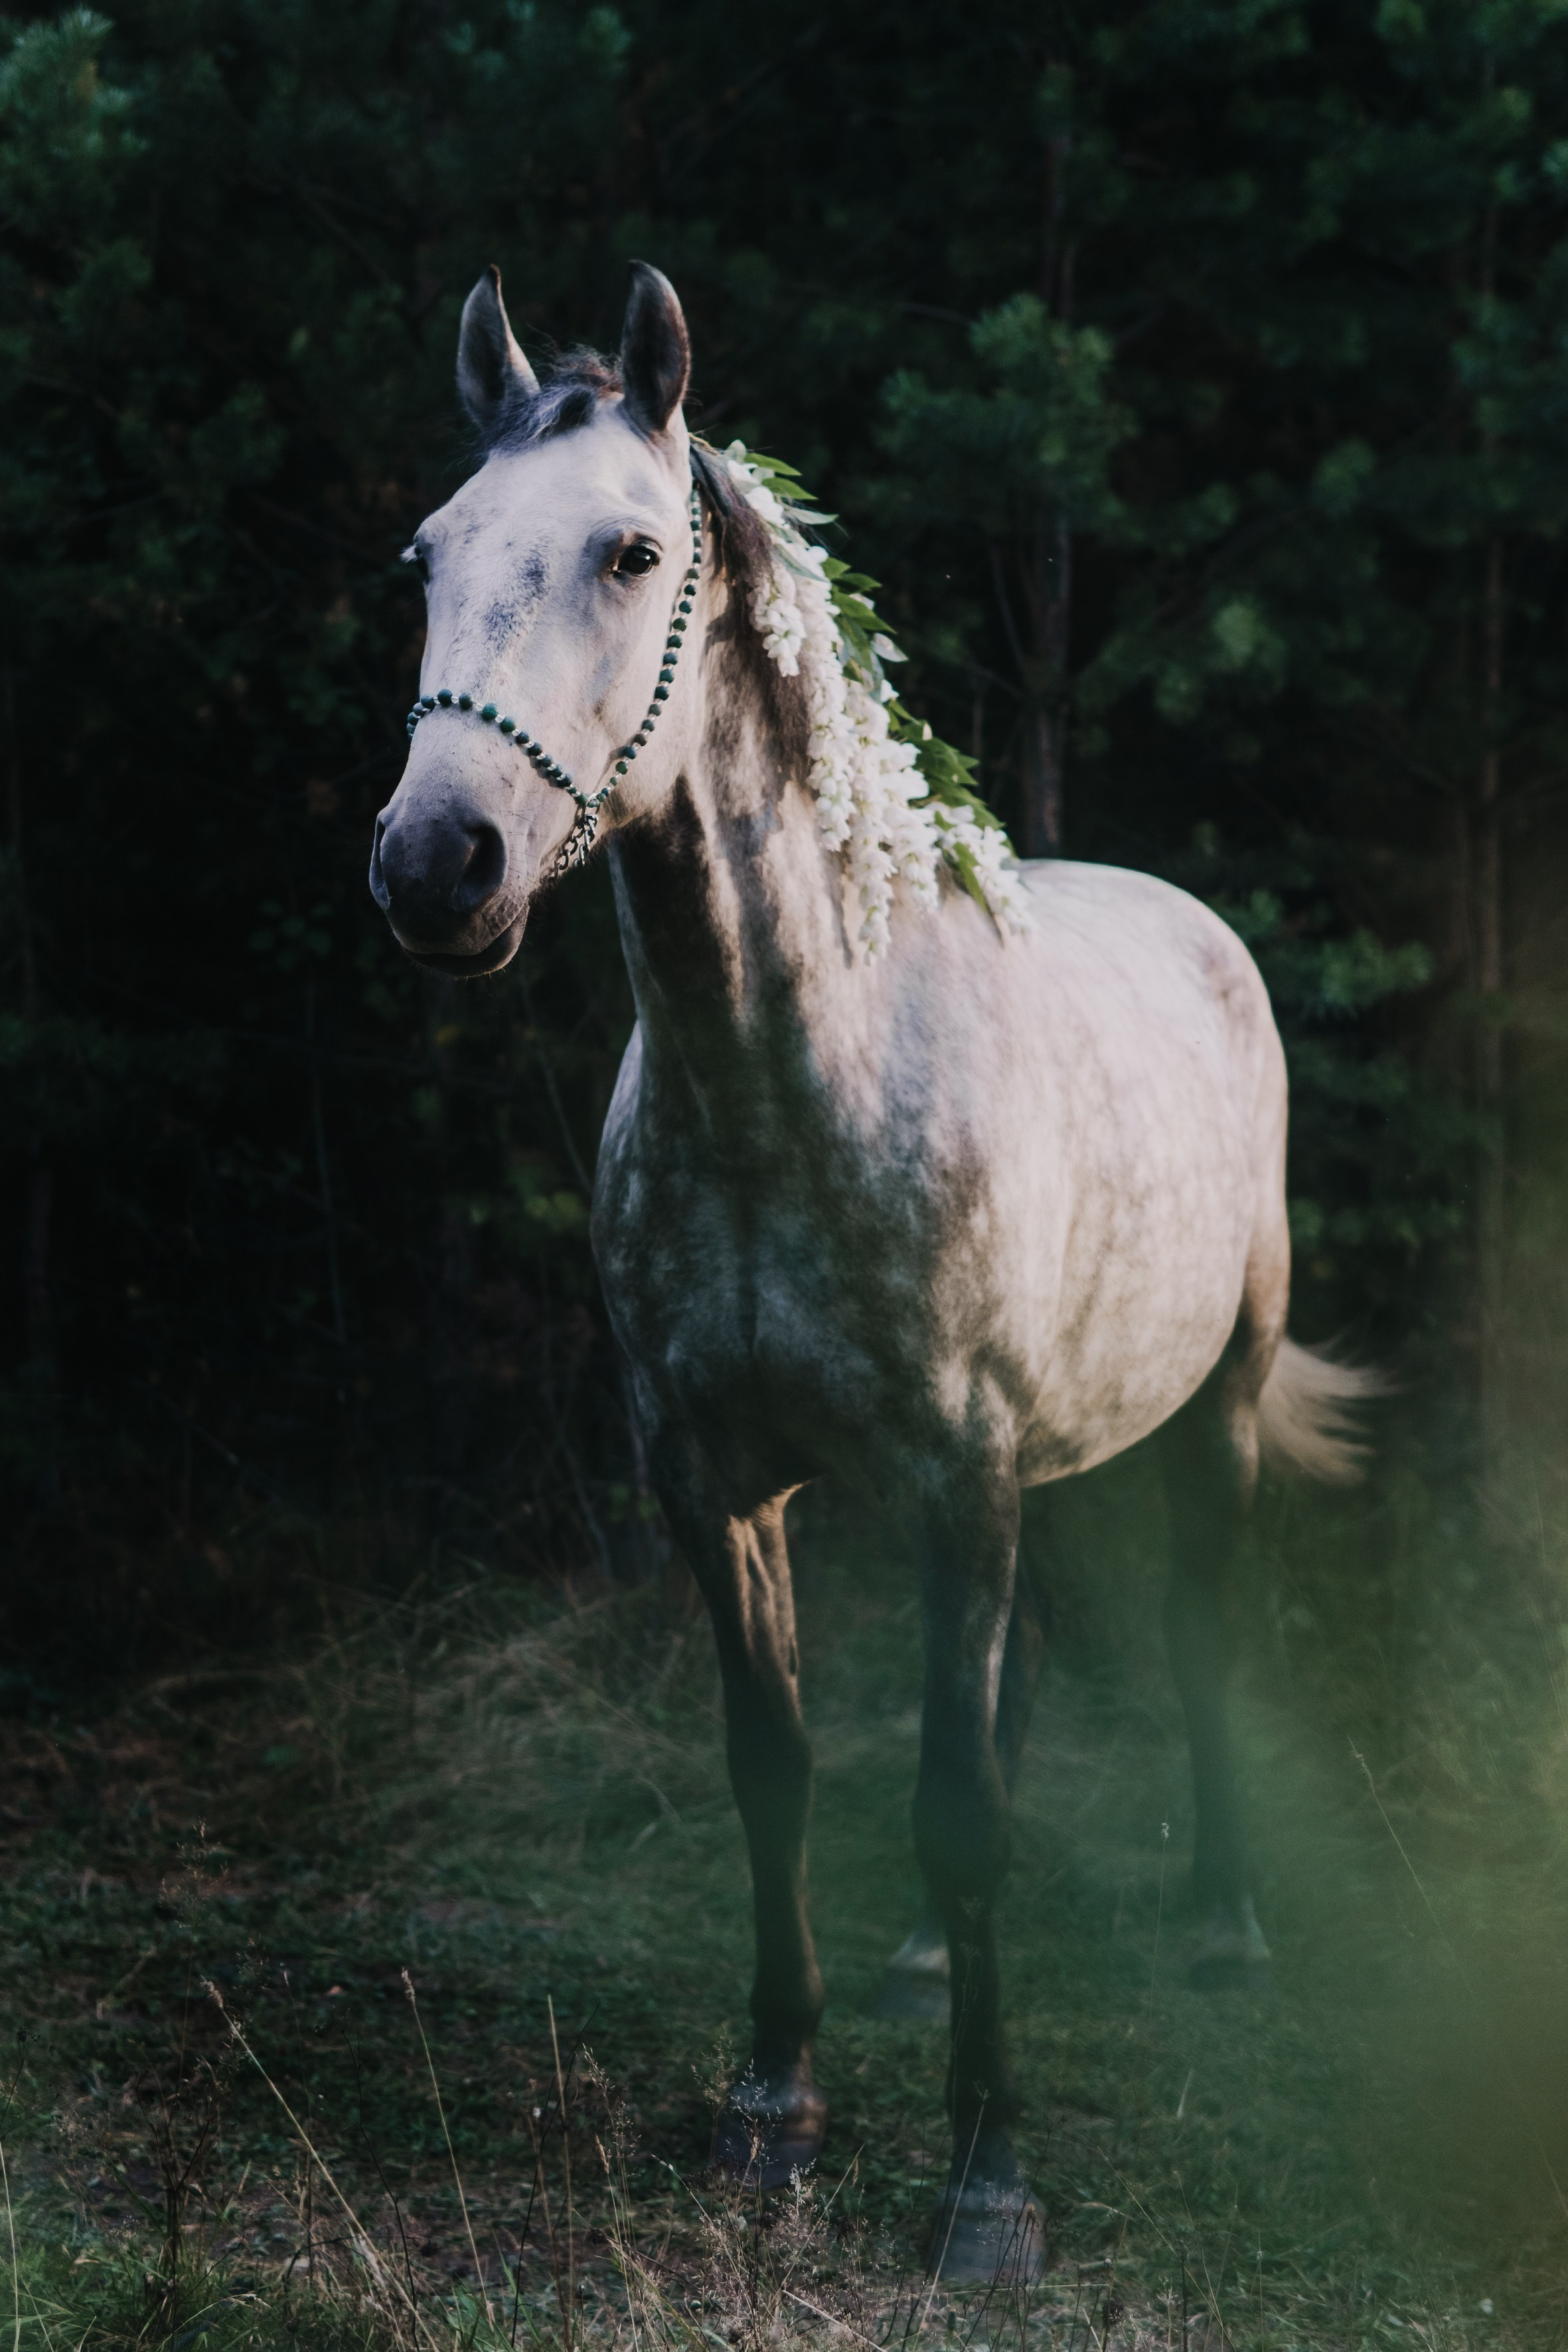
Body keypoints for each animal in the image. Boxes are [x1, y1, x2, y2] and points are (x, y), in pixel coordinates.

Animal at [368, 259, 1374, 2283]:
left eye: (627, 550)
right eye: (427, 553)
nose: (438, 862)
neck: (791, 1075)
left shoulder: (954, 1477)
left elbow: (960, 1800)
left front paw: (988, 2181)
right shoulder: (717, 1485)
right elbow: (783, 1767)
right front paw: (775, 2104)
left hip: (1214, 1405)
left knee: (1199, 1630)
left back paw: (1224, 1925)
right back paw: (918, 1967)